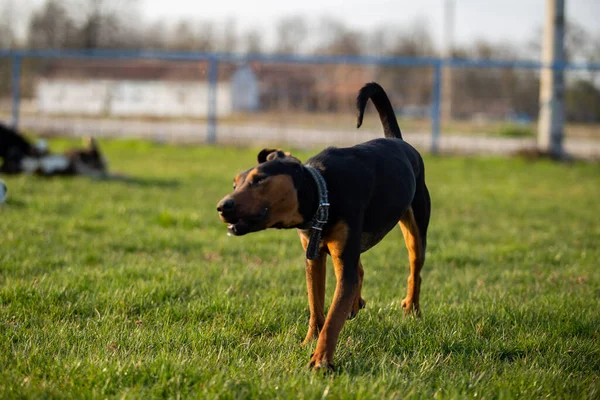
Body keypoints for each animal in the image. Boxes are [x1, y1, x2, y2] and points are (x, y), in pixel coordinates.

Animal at [216, 82, 432, 372]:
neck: (322, 193)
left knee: (414, 269)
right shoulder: (314, 256)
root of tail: (399, 141)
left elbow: (333, 316)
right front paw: (309, 342)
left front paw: (321, 360)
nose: (222, 206)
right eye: (234, 183)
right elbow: (316, 306)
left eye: (259, 179)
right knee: (359, 270)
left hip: (415, 228)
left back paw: (411, 309)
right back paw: (357, 303)